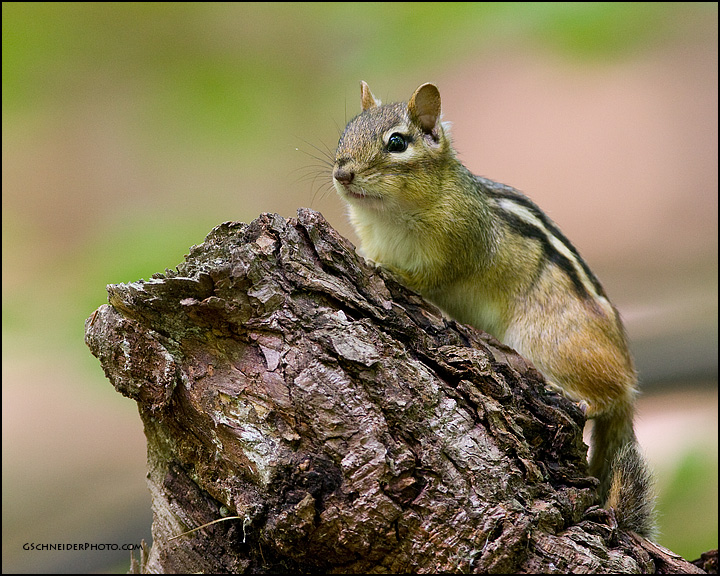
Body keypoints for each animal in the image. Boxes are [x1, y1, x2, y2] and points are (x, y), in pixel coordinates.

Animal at [332, 81, 656, 538]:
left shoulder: (460, 247)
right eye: (346, 132)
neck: (390, 217)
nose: (341, 173)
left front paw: (384, 268)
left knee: (603, 399)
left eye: (397, 142)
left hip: (546, 342)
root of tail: (629, 381)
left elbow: (427, 277)